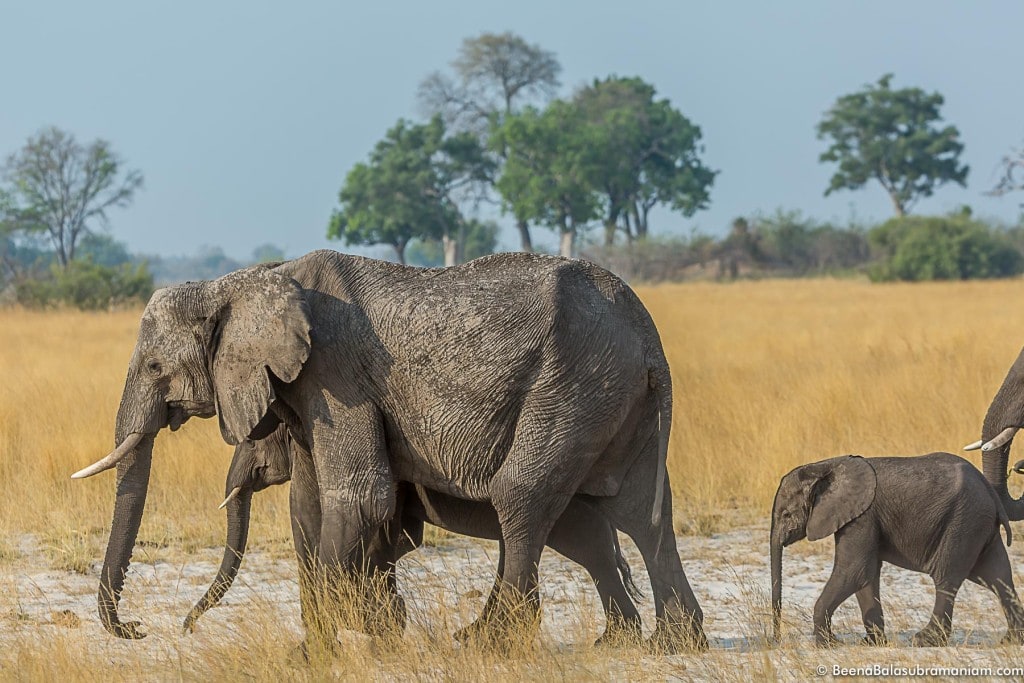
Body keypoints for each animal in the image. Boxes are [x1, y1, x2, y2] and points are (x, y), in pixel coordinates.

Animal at [72, 249, 704, 651]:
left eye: (156, 367)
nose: (146, 629)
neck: (248, 282)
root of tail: (650, 338)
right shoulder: (307, 392)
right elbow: (309, 508)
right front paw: (331, 644)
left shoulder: (335, 374)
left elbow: (358, 498)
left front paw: (328, 646)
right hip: (616, 393)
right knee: (641, 513)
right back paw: (670, 644)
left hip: (575, 383)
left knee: (522, 499)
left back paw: (490, 641)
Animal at [770, 450, 1019, 651]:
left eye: (786, 514)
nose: (777, 640)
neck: (825, 466)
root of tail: (990, 490)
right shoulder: (862, 518)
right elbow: (866, 576)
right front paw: (871, 643)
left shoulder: (862, 517)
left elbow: (855, 571)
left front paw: (828, 645)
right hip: (979, 524)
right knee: (999, 577)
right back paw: (1011, 640)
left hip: (963, 522)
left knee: (947, 578)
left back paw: (925, 640)